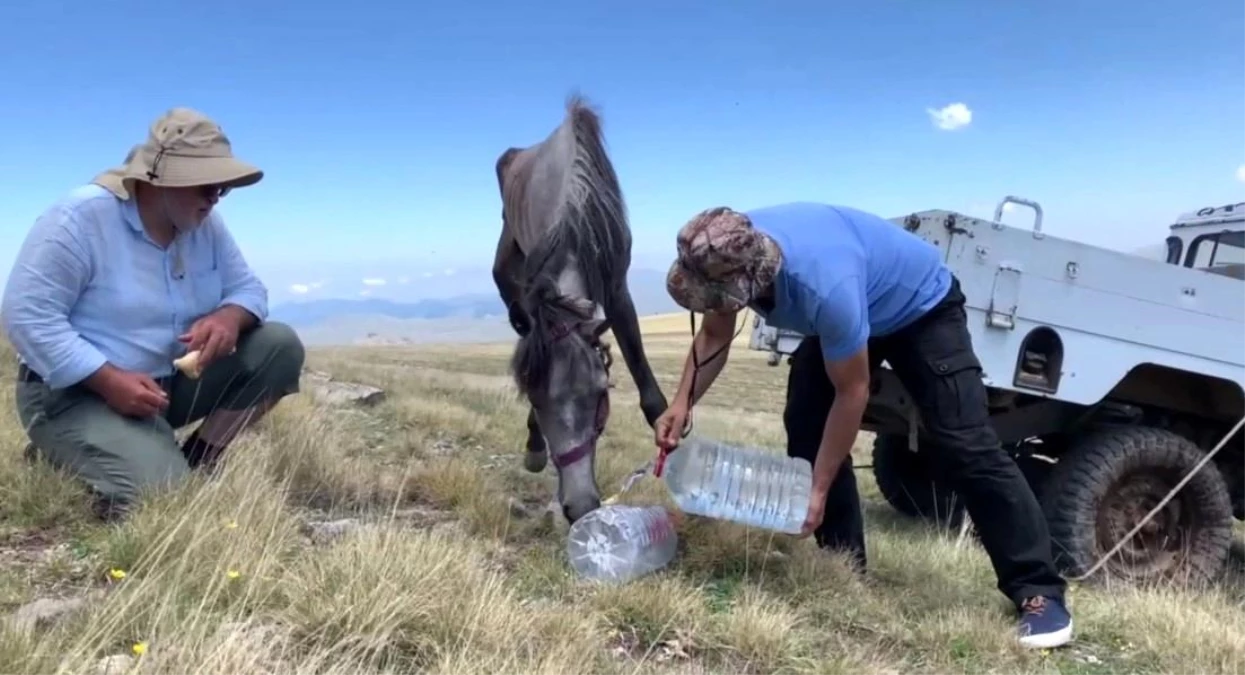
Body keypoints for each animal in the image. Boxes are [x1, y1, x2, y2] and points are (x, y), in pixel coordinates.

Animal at [490, 94, 672, 523]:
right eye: (535, 398)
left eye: (601, 392)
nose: (582, 505)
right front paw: (536, 448)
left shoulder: (618, 289)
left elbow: (650, 392)